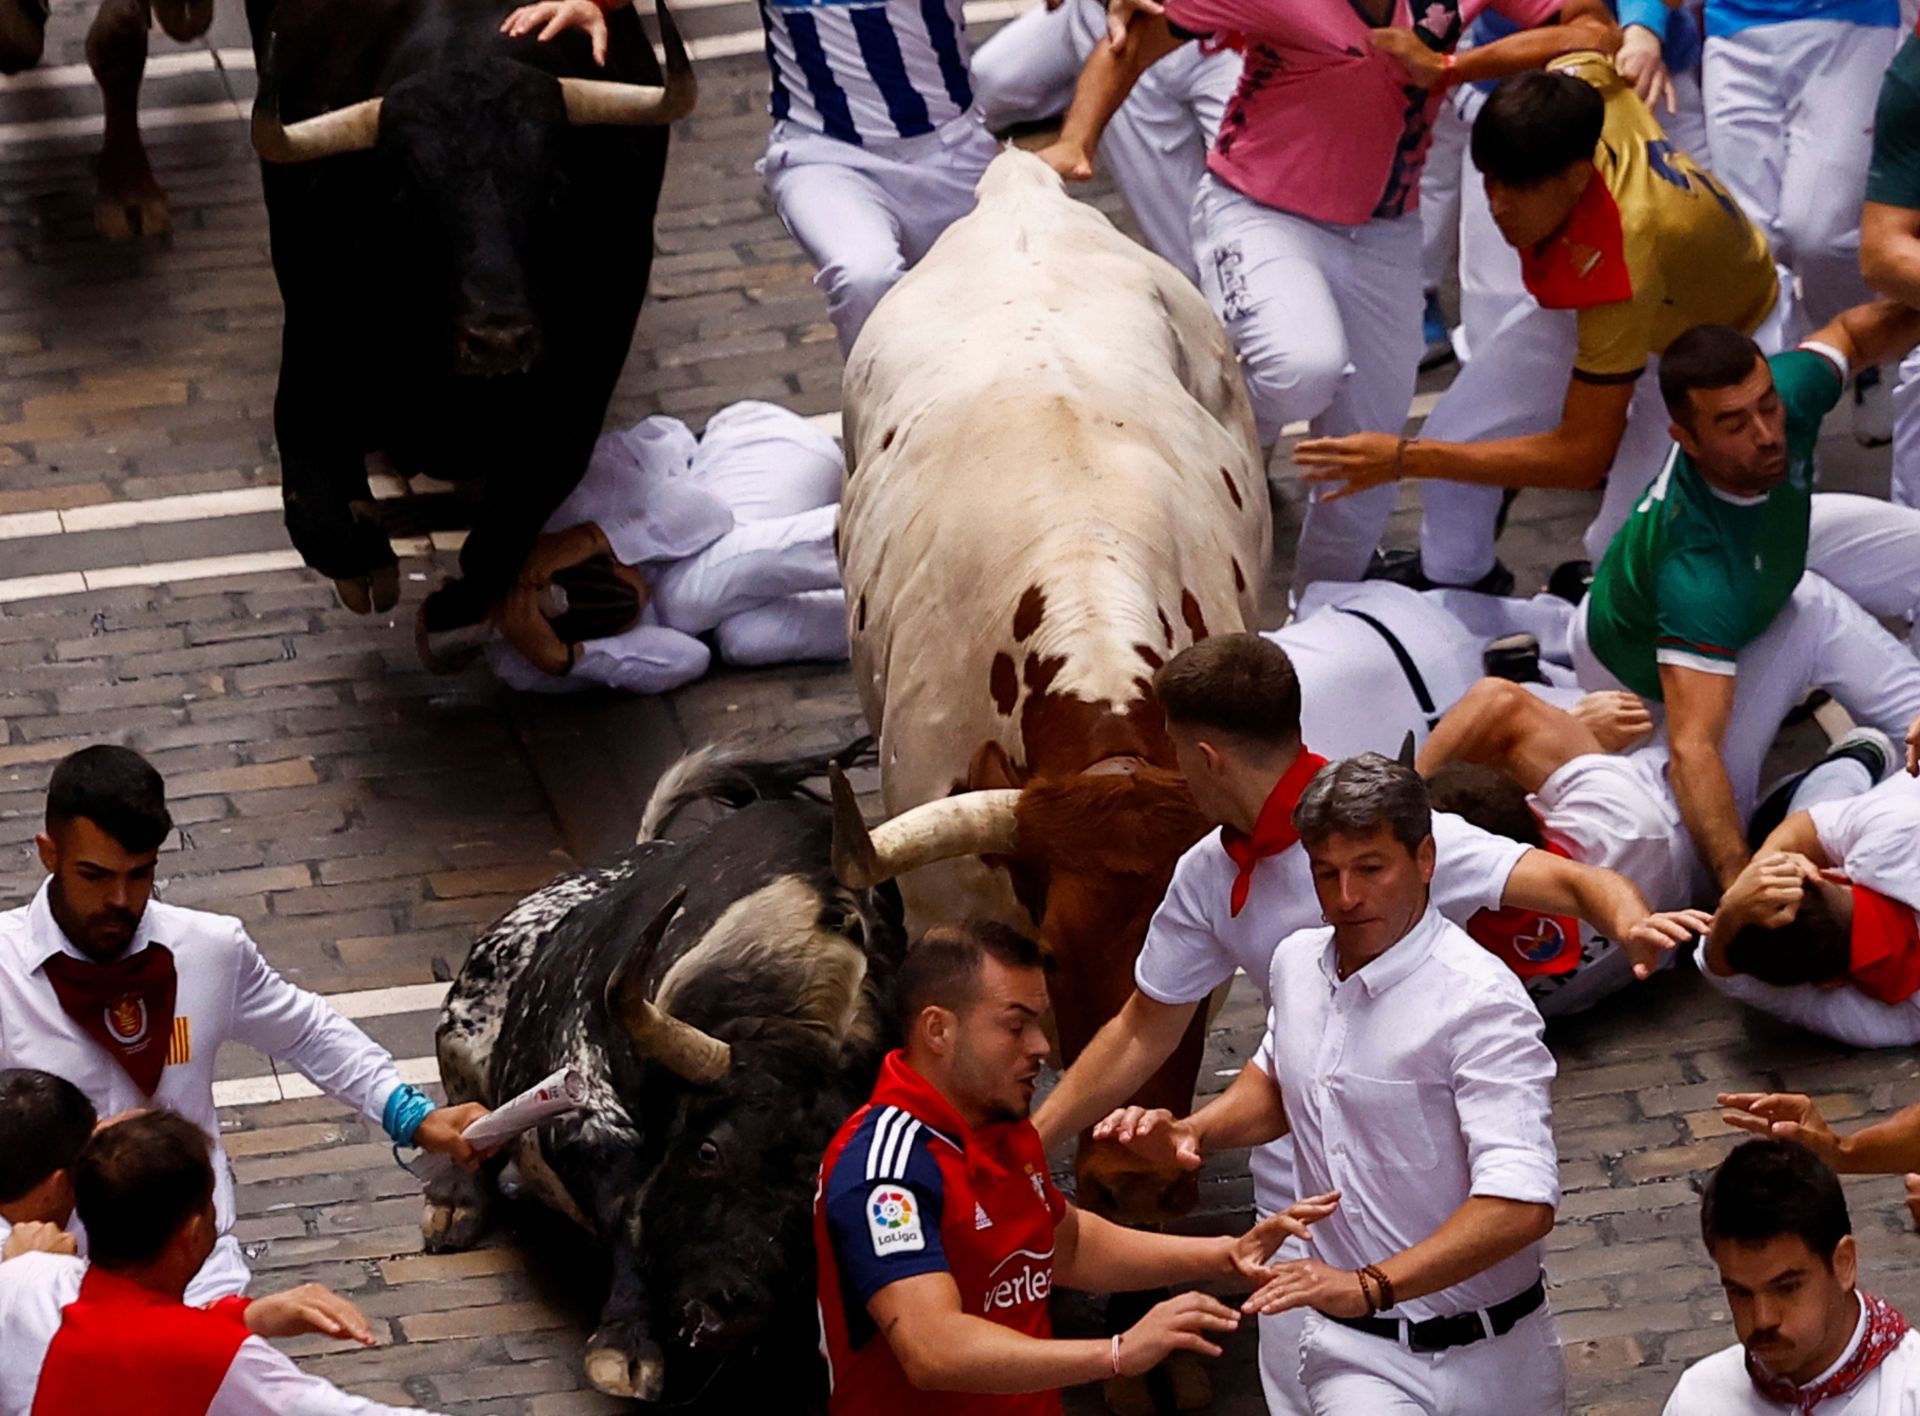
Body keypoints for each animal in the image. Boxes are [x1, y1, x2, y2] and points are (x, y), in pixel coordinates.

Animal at [240, 0, 691, 617]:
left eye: (555, 186)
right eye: (406, 194)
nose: (497, 339)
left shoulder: (582, 380)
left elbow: (511, 521)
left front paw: (455, 602)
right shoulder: (315, 342)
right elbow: (314, 503)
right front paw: (367, 561)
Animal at [424, 740, 902, 1404]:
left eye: (819, 1187)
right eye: (708, 1152)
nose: (727, 1311)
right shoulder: (585, 1107)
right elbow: (628, 1209)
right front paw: (624, 1346)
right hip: (464, 1026)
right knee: (472, 1122)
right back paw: (454, 1204)